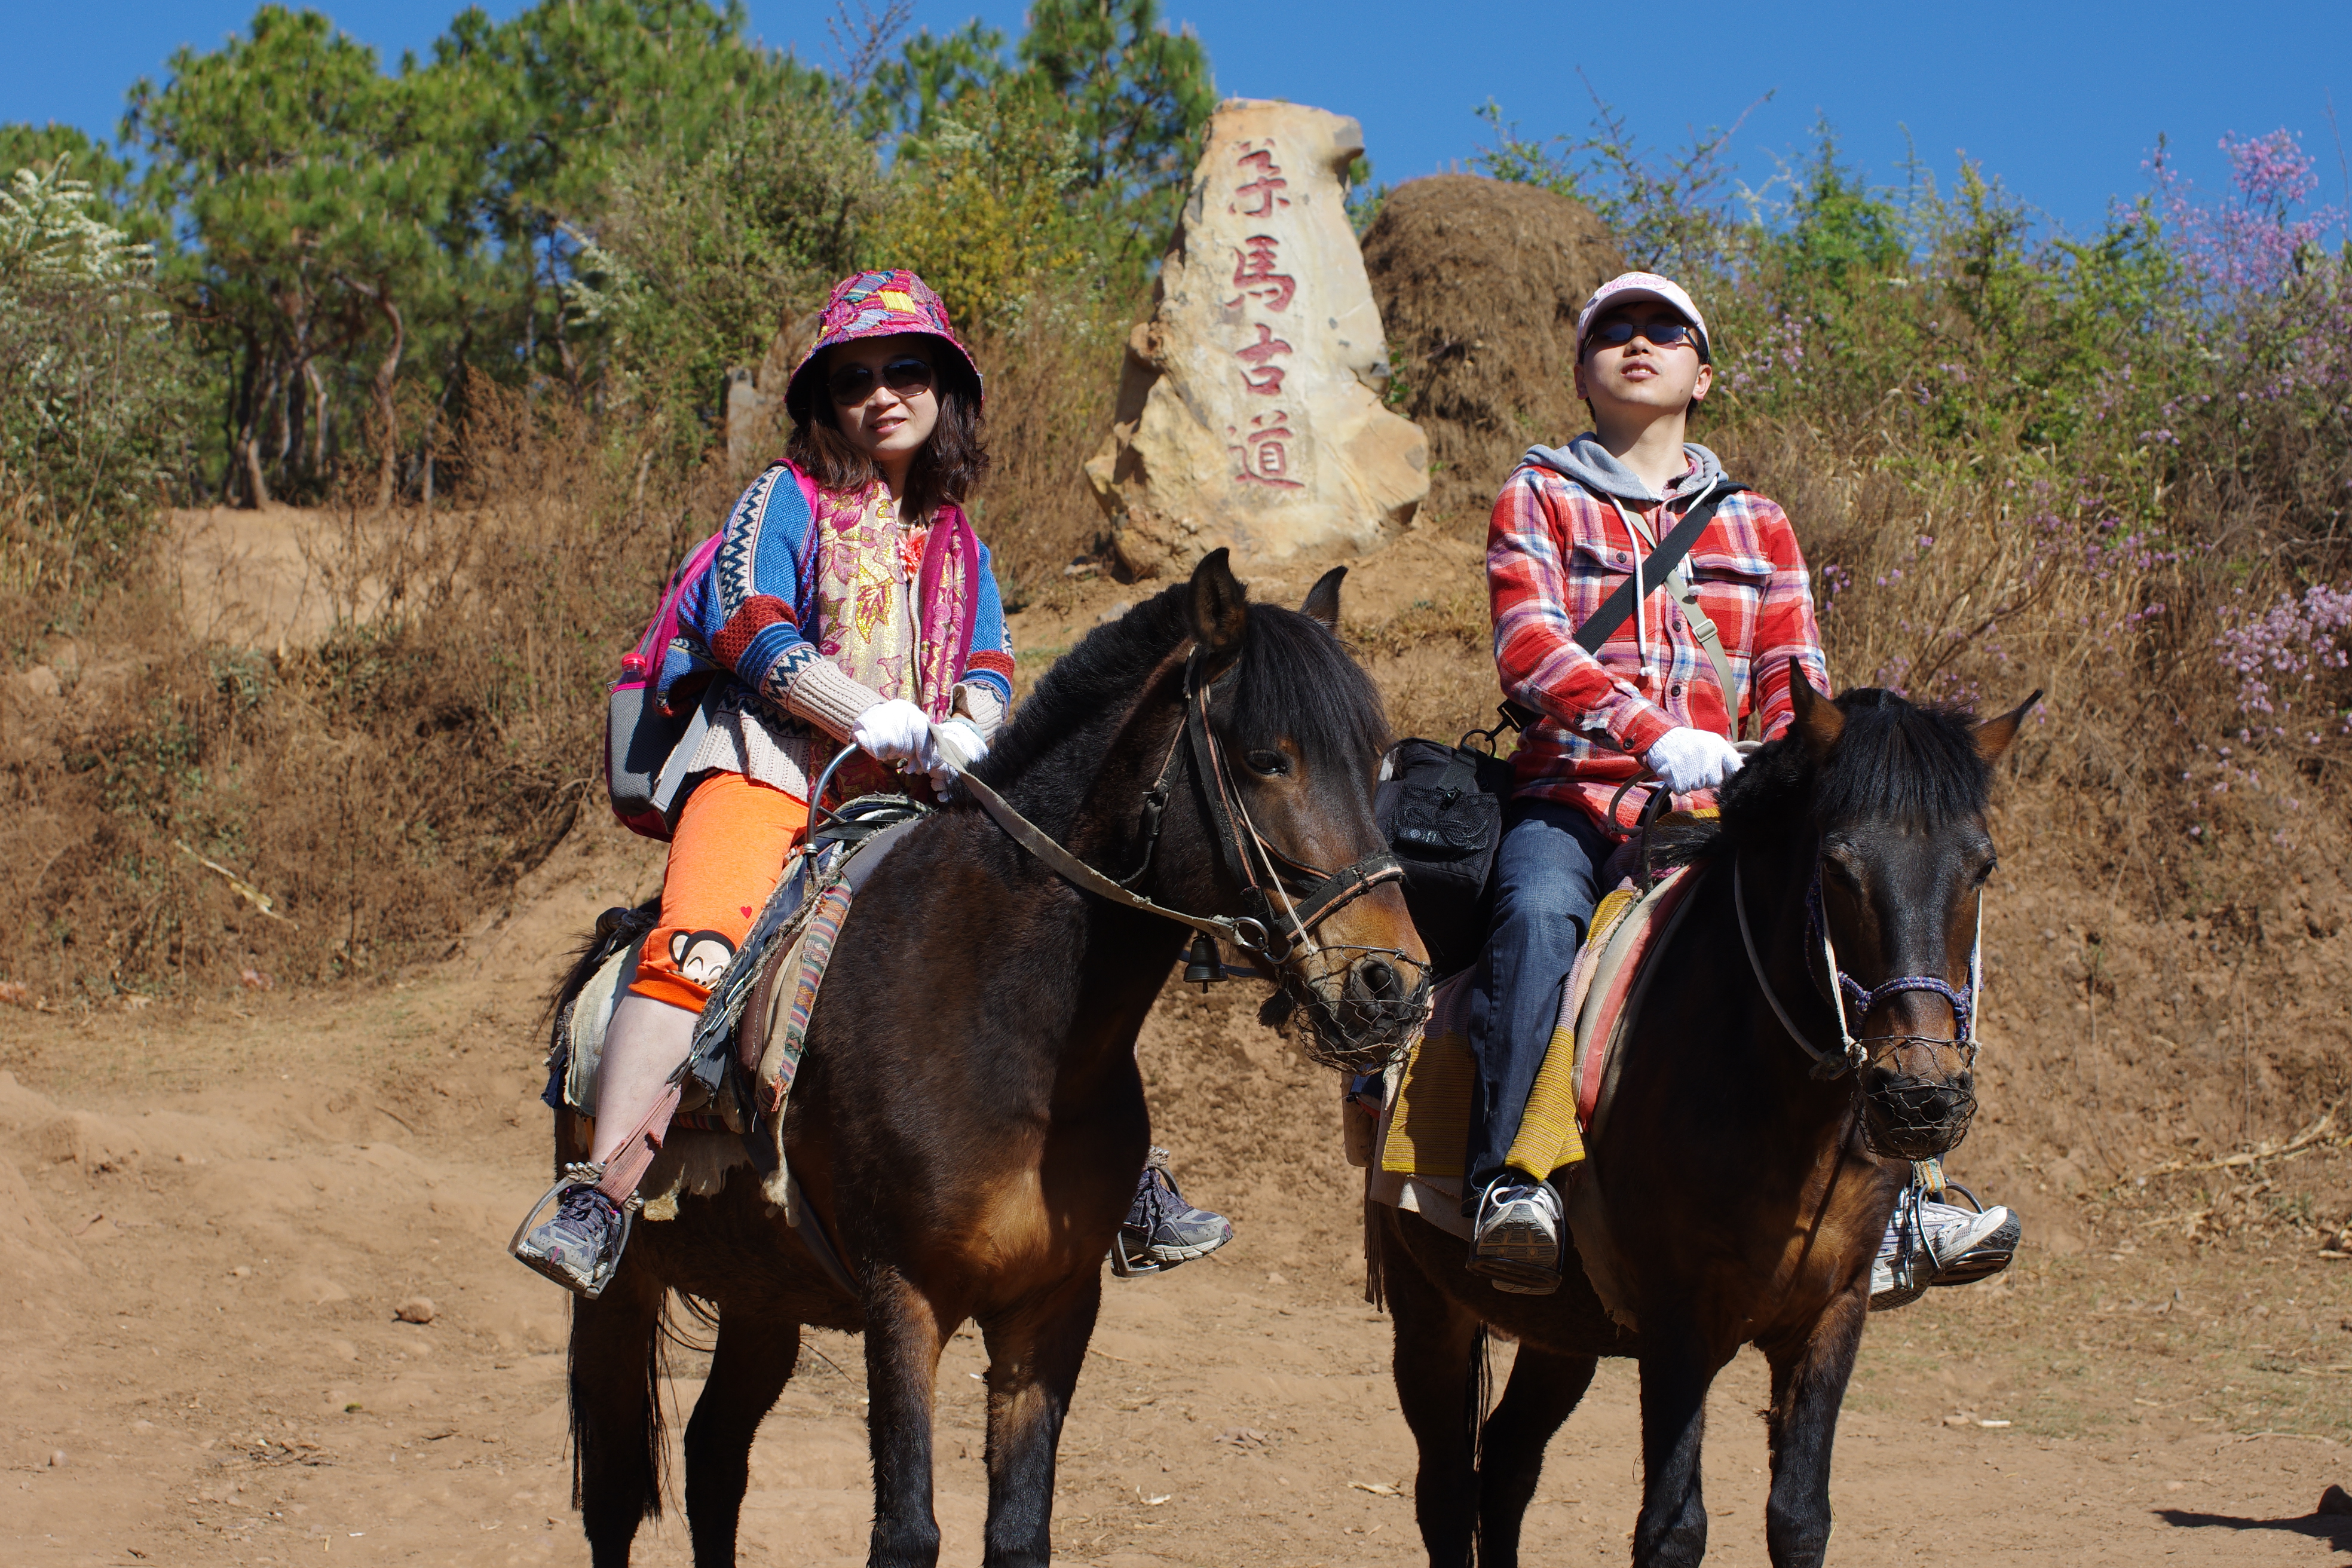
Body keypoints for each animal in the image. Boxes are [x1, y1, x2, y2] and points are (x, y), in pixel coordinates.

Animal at [555, 555, 1430, 1568]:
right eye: (1266, 758)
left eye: (1378, 763)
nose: (1392, 985)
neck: (1016, 1038)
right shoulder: (904, 1297)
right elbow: (906, 1530)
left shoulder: (1050, 1306)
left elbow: (1017, 1532)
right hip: (621, 1297)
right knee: (616, 1493)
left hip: (764, 1297)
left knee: (713, 1458)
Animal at [1373, 677, 2041, 1568]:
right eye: (1838, 866)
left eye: (1981, 866)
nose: (1918, 1099)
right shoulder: (1679, 1324)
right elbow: (1672, 1528)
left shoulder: (1833, 1315)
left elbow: (1800, 1518)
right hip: (1429, 1300)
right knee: (1446, 1489)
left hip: (1564, 1331)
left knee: (1507, 1465)